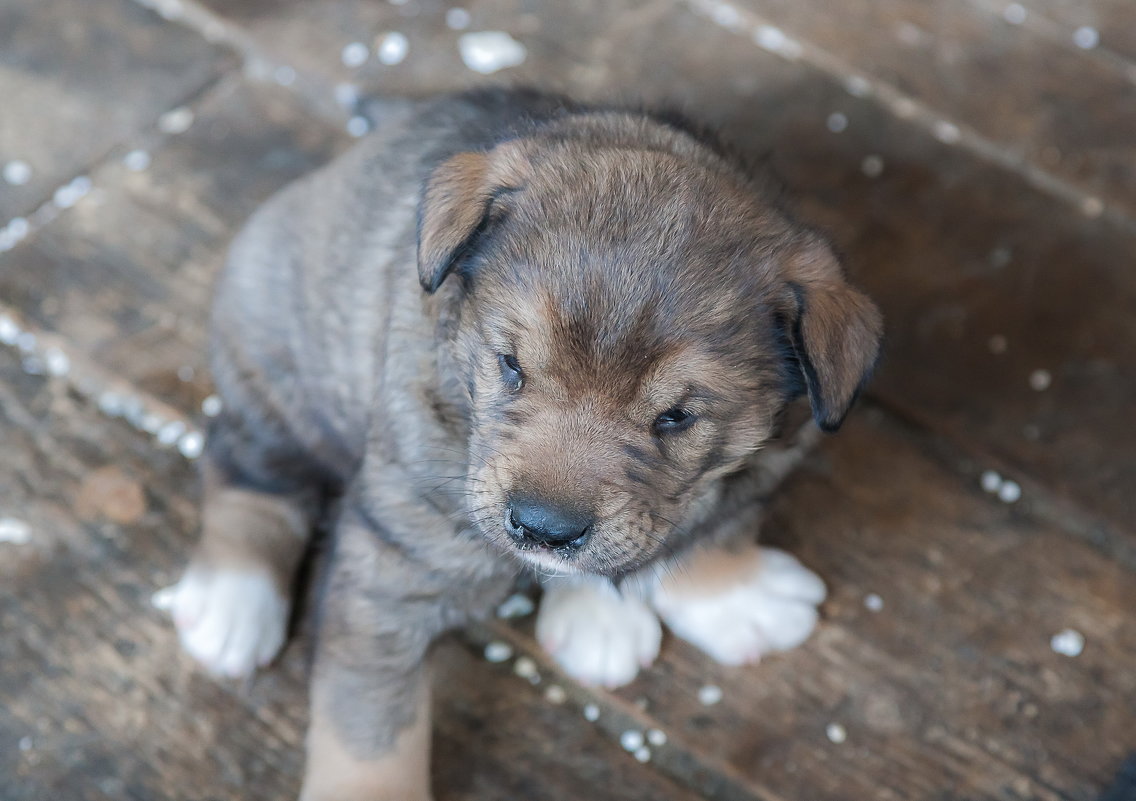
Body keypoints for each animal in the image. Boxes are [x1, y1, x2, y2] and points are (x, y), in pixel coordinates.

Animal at [168, 89, 881, 799]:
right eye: (511, 365)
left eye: (676, 417)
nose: (542, 528)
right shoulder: (392, 569)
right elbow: (371, 734)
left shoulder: (767, 457)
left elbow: (717, 526)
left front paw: (734, 594)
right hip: (281, 378)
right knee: (245, 465)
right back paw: (231, 602)